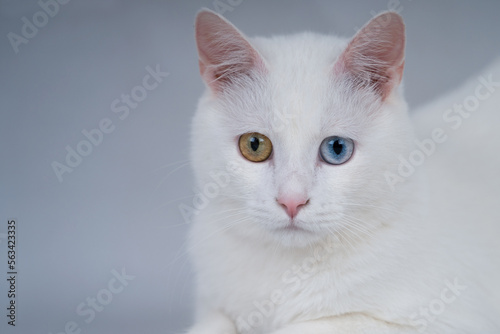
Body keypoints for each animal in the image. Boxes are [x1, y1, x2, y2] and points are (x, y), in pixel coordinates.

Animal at [186, 8, 500, 334]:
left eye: (337, 148)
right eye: (254, 145)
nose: (291, 201)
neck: (288, 270)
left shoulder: (449, 317)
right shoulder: (210, 305)